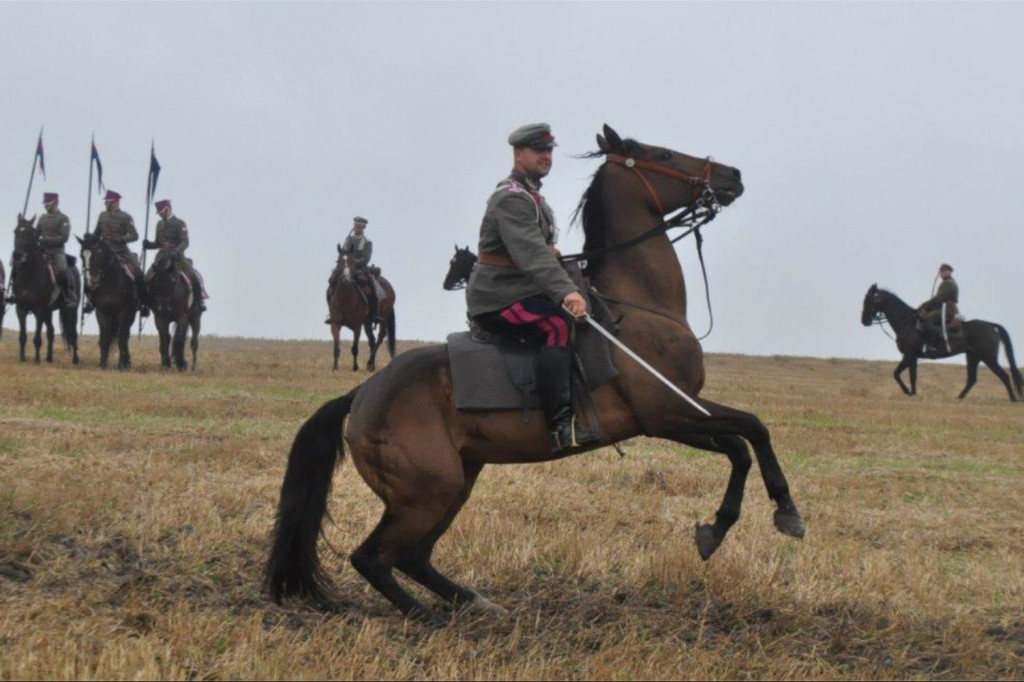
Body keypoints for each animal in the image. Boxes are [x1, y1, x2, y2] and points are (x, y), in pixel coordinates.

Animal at [11, 215, 78, 364]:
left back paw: (76, 359)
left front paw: (36, 360)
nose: (17, 256)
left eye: (30, 233)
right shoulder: (21, 309)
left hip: (70, 310)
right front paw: (22, 359)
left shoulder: (39, 310)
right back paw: (49, 358)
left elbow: (37, 338)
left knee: (73, 333)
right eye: (15, 231)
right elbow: (22, 336)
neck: (30, 275)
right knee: (51, 332)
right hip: (49, 311)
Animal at [77, 229, 137, 366]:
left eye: (96, 255)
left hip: (131, 315)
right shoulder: (101, 312)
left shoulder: (124, 312)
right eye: (81, 256)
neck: (110, 284)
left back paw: (126, 361)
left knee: (125, 335)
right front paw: (103, 364)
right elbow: (105, 338)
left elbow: (122, 338)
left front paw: (121, 365)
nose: (90, 282)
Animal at [268, 124, 802, 622]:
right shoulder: (666, 414)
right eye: (664, 154)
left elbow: (743, 442)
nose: (732, 175)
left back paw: (475, 603)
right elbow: (750, 431)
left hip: (457, 482)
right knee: (373, 558)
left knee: (412, 557)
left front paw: (729, 524)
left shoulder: (679, 415)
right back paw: (427, 617)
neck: (639, 306)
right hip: (426, 492)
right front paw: (780, 513)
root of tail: (363, 393)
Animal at [860, 284, 1019, 401]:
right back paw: (958, 398)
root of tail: (990, 325)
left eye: (868, 300)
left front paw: (910, 393)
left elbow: (905, 375)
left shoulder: (910, 355)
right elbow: (902, 374)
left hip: (989, 358)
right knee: (972, 379)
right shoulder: (911, 357)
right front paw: (911, 392)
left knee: (1003, 376)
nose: (864, 321)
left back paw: (1013, 399)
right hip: (973, 356)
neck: (907, 323)